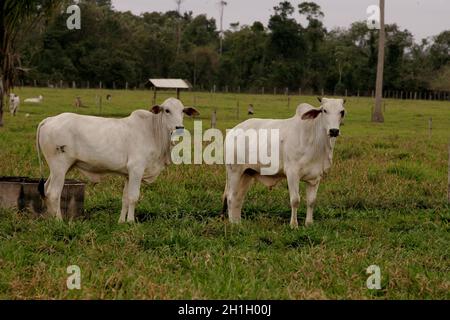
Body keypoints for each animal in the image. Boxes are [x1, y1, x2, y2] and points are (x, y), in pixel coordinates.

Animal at [37, 97, 200, 222]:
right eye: (167, 110)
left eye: (182, 111)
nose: (179, 128)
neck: (153, 131)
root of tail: (49, 119)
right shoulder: (136, 169)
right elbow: (133, 197)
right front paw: (131, 222)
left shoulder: (128, 174)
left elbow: (125, 198)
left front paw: (121, 221)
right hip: (59, 166)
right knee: (54, 193)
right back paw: (58, 221)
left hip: (59, 168)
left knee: (46, 189)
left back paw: (49, 218)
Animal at [223, 97, 346, 228]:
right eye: (324, 110)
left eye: (342, 112)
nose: (334, 131)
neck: (316, 142)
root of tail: (233, 130)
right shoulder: (292, 174)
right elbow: (295, 200)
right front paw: (293, 225)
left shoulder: (315, 177)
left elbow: (311, 201)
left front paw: (309, 223)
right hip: (234, 171)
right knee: (230, 197)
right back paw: (232, 224)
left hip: (247, 174)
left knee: (238, 198)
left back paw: (238, 223)